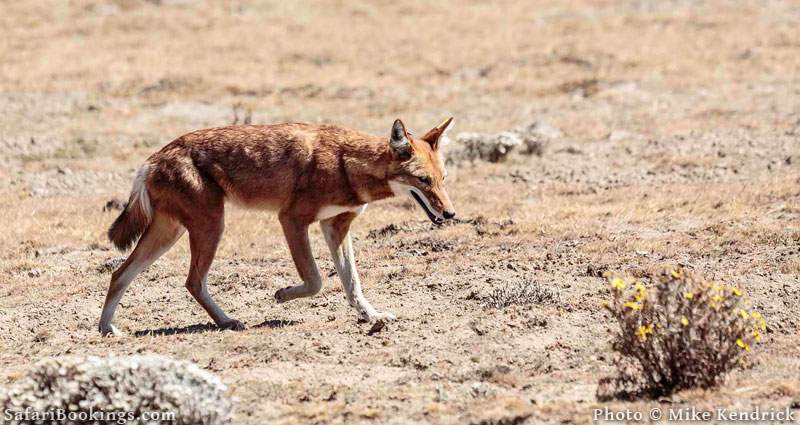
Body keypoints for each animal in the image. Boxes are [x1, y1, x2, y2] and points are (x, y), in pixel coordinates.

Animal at [98, 117, 456, 334]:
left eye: (442, 179)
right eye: (423, 181)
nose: (451, 214)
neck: (348, 164)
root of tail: (152, 159)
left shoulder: (335, 226)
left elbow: (352, 284)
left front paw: (371, 316)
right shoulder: (292, 220)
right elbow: (316, 281)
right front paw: (282, 295)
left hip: (172, 233)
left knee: (120, 274)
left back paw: (106, 330)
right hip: (210, 227)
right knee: (191, 281)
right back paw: (227, 321)